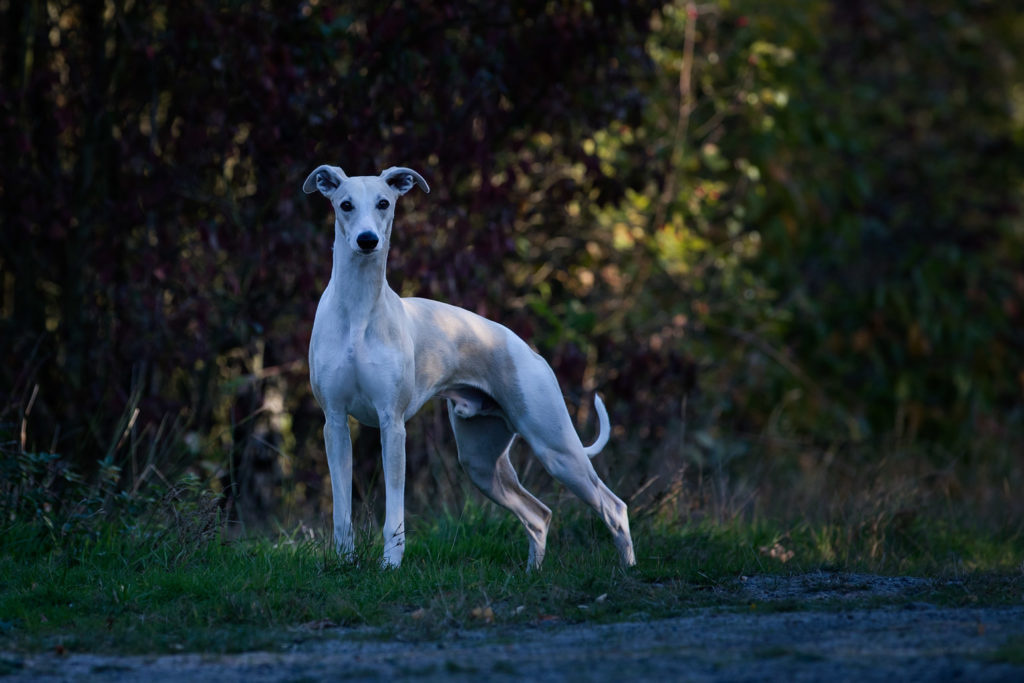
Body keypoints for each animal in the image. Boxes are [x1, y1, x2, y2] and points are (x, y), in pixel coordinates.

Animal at [301, 165, 630, 573]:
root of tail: (530, 352)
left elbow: (394, 513)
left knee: (614, 507)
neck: (359, 311)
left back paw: (628, 570)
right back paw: (532, 573)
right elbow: (341, 510)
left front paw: (390, 566)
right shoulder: (334, 423)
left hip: (556, 447)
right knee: (539, 515)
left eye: (384, 203)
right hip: (481, 462)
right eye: (345, 204)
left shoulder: (392, 424)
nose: (367, 240)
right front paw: (344, 562)